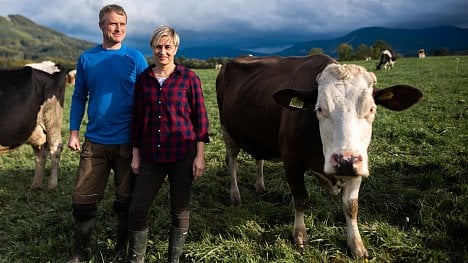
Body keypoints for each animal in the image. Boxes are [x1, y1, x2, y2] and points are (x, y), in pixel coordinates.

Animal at [0, 62, 66, 190]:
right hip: (36, 128)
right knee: (40, 154)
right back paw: (36, 186)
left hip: (52, 118)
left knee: (55, 148)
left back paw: (52, 186)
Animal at [216, 54, 424, 260]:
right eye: (319, 109)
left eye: (371, 109)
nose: (344, 161)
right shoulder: (291, 160)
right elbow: (301, 199)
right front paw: (300, 236)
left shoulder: (358, 164)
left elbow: (351, 206)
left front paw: (356, 245)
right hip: (226, 131)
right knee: (232, 163)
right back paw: (235, 195)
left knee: (258, 158)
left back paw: (260, 186)